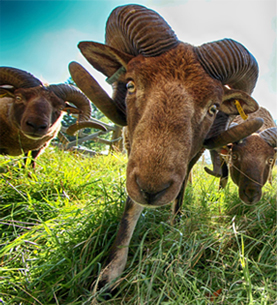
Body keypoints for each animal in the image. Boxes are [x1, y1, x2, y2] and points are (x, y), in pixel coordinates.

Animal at [67, 4, 262, 292]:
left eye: (213, 107)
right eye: (130, 84)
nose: (151, 190)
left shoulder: (191, 155)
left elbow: (178, 193)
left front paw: (173, 229)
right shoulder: (132, 151)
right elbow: (131, 207)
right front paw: (109, 275)